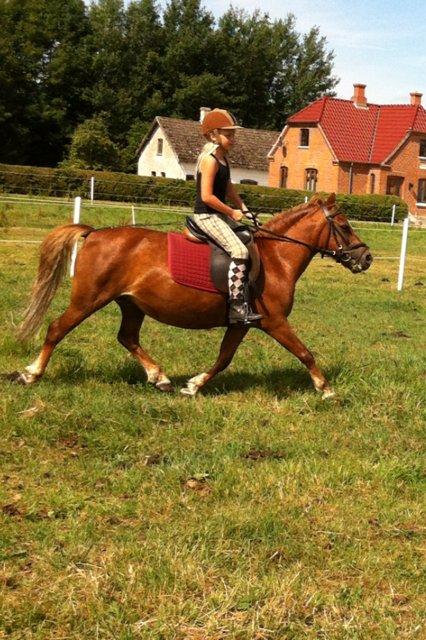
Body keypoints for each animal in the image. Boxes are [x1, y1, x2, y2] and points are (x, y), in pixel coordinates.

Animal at [10, 193, 372, 398]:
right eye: (344, 225)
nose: (366, 257)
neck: (276, 257)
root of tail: (95, 233)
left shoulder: (241, 323)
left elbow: (223, 359)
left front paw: (193, 385)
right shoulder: (274, 321)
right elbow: (305, 353)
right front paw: (326, 390)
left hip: (131, 304)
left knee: (128, 338)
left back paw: (160, 378)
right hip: (88, 299)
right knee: (57, 329)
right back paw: (31, 374)